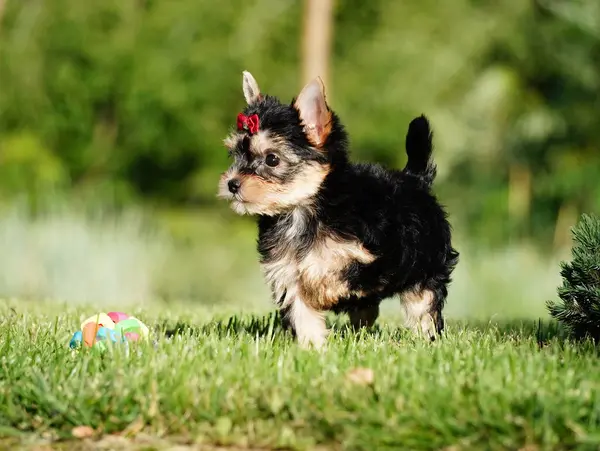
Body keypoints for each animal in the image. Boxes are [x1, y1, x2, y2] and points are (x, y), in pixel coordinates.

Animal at [220, 70, 460, 350]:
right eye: (235, 155)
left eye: (272, 159)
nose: (232, 183)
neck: (302, 209)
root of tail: (415, 179)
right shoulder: (286, 272)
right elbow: (302, 311)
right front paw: (312, 348)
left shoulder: (368, 259)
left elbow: (334, 274)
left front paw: (321, 292)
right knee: (368, 310)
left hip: (425, 267)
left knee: (423, 306)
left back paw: (427, 338)